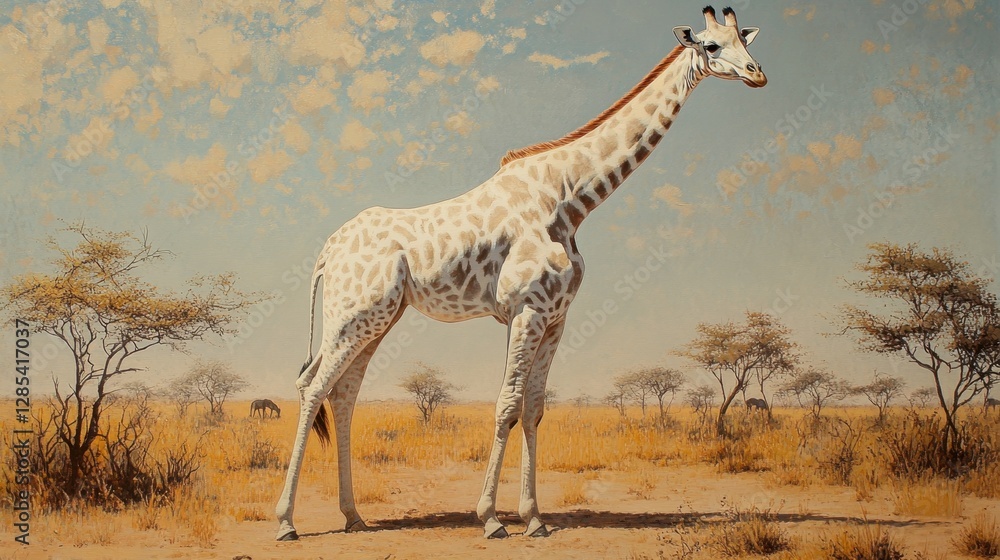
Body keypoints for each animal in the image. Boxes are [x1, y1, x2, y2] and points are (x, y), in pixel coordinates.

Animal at [275, 6, 766, 541]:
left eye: (744, 38)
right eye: (712, 46)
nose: (757, 74)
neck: (570, 200)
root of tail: (328, 250)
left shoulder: (556, 318)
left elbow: (534, 408)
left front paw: (534, 518)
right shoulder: (526, 309)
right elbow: (507, 404)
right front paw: (491, 519)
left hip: (378, 320)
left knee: (343, 394)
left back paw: (354, 517)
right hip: (352, 315)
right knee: (313, 387)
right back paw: (286, 522)